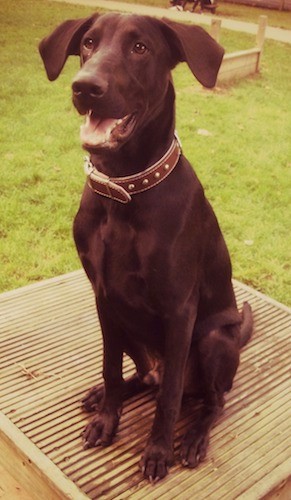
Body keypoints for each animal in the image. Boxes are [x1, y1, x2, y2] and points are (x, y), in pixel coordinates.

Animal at [38, 12, 253, 480]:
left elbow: (170, 396)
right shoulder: (103, 297)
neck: (125, 191)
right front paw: (107, 418)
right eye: (88, 42)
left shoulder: (180, 310)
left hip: (213, 341)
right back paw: (107, 394)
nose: (85, 87)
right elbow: (111, 367)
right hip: (126, 324)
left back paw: (194, 437)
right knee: (144, 376)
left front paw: (158, 451)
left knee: (211, 400)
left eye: (141, 48)